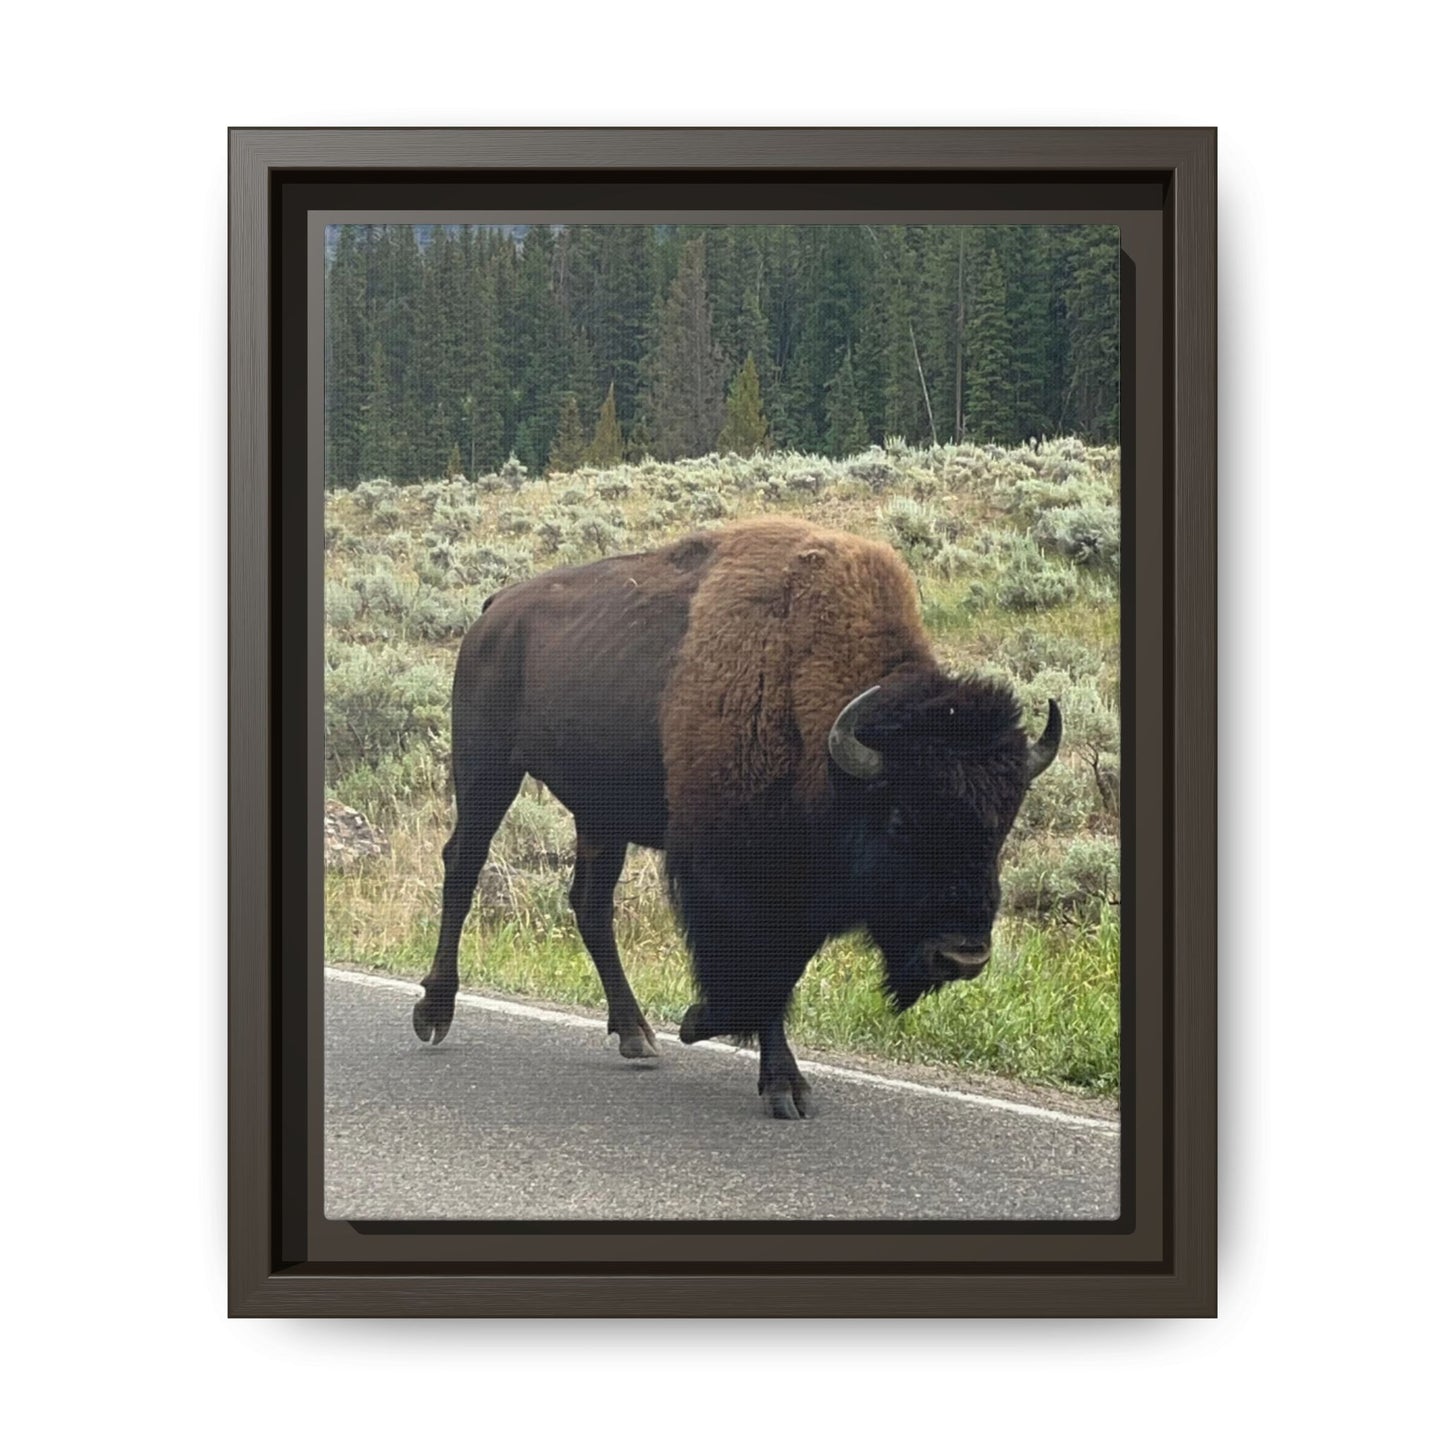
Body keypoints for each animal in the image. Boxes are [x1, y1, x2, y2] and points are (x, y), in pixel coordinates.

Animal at [414, 517, 1060, 1118]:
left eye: (1003, 824)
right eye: (901, 819)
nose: (963, 956)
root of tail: (495, 610)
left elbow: (781, 971)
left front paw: (729, 1043)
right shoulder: (735, 876)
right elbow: (759, 970)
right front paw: (755, 1064)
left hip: (601, 813)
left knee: (591, 904)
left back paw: (636, 1035)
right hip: (487, 770)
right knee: (463, 867)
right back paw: (434, 1012)